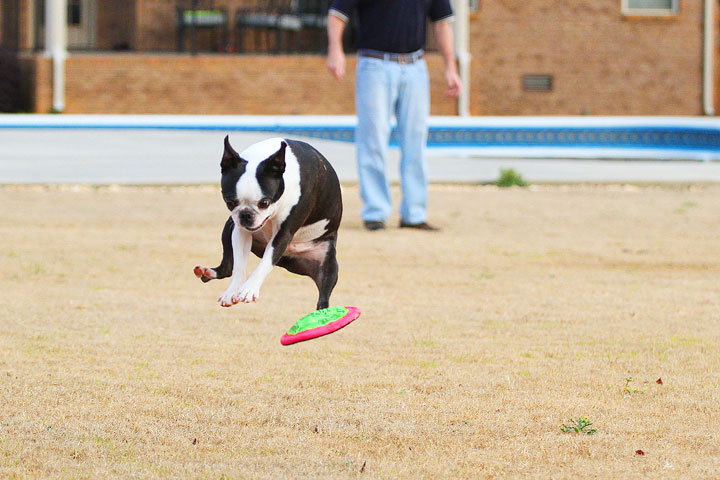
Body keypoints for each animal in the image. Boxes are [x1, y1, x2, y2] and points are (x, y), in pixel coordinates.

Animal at [194, 136, 344, 312]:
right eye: (229, 202)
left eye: (264, 202)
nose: (246, 215)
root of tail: (287, 259)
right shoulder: (240, 231)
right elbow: (239, 264)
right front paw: (232, 291)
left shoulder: (284, 233)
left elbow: (266, 262)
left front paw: (249, 288)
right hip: (228, 229)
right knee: (227, 267)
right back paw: (207, 272)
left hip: (328, 264)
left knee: (323, 296)